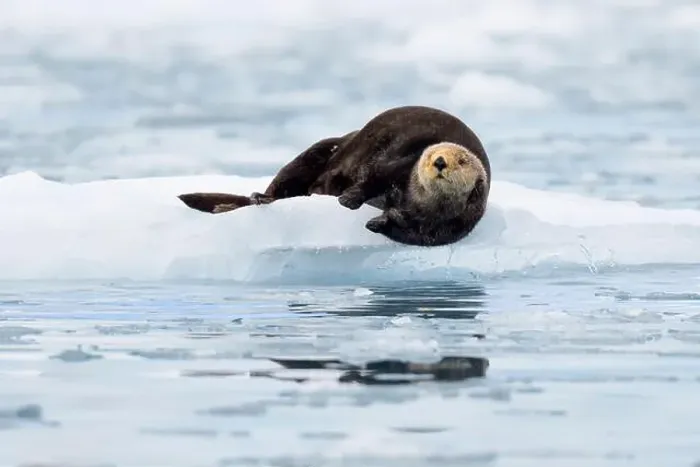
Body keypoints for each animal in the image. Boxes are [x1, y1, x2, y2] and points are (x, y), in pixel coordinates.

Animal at [178, 105, 491, 247]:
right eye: (430, 154)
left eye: (462, 160)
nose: (439, 161)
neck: (417, 199)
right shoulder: (403, 159)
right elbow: (375, 174)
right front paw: (349, 199)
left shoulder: (455, 225)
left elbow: (414, 234)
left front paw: (379, 222)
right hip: (318, 152)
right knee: (284, 186)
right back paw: (259, 198)